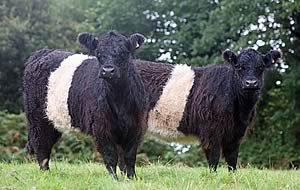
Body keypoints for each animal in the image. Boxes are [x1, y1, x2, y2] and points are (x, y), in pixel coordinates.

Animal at [24, 31, 148, 180]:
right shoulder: (101, 128)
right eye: (98, 54)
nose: (108, 70)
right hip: (37, 118)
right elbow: (111, 155)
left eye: (124, 52)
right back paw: (45, 173)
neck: (120, 100)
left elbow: (129, 156)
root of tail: (43, 53)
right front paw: (114, 179)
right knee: (42, 146)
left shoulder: (136, 127)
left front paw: (131, 178)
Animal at [132, 48, 280, 171]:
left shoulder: (236, 133)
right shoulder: (211, 132)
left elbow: (232, 160)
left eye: (261, 67)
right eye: (239, 67)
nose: (251, 83)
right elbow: (214, 159)